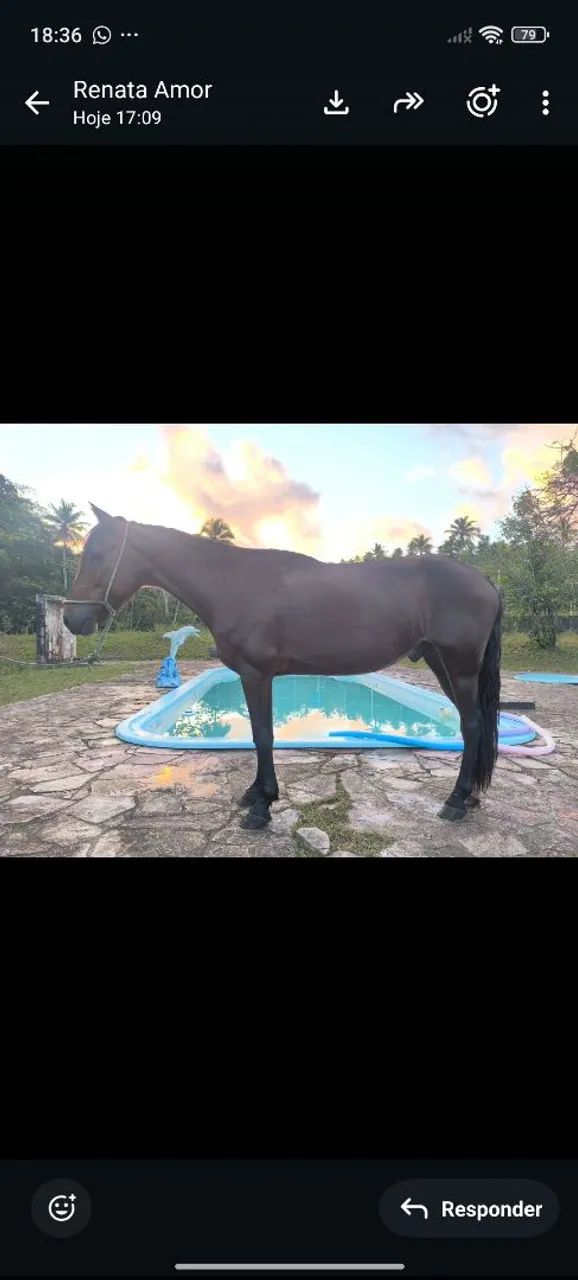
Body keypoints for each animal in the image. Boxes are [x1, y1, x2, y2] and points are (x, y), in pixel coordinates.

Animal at [63, 505, 502, 831]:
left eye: (97, 556)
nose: (73, 620)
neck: (231, 583)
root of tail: (485, 580)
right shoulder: (255, 676)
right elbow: (261, 735)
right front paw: (255, 795)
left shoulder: (256, 674)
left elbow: (262, 735)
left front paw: (262, 807)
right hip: (440, 663)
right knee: (476, 723)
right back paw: (471, 797)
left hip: (459, 666)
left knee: (471, 725)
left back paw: (456, 801)